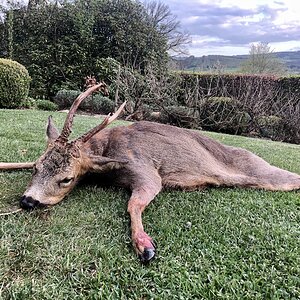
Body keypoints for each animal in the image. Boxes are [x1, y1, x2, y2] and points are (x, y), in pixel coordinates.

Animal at [19, 83, 300, 262]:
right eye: (36, 167)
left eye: (66, 179)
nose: (27, 200)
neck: (108, 150)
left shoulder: (145, 170)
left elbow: (132, 204)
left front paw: (145, 246)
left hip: (262, 173)